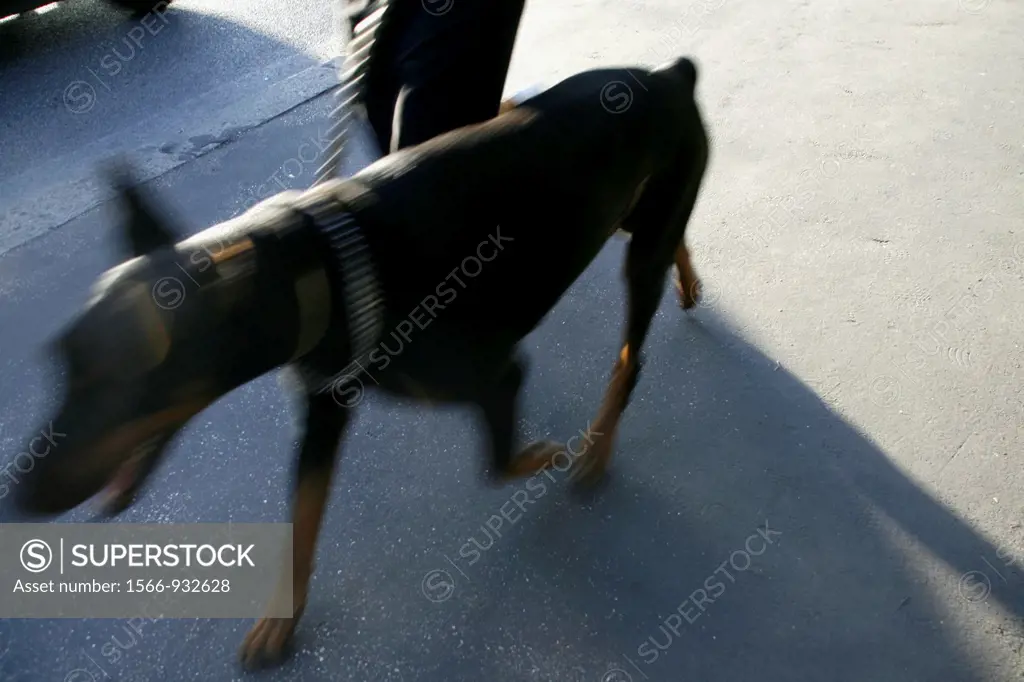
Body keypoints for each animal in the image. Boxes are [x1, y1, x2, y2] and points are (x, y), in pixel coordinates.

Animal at [12, 57, 708, 663]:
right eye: (61, 363)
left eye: (118, 379)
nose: (20, 492)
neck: (316, 268)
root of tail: (668, 74)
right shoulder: (325, 402)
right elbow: (302, 518)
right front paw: (280, 621)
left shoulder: (499, 376)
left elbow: (500, 462)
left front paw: (547, 454)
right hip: (628, 212)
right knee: (667, 241)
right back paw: (689, 280)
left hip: (642, 238)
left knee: (630, 355)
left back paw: (595, 448)